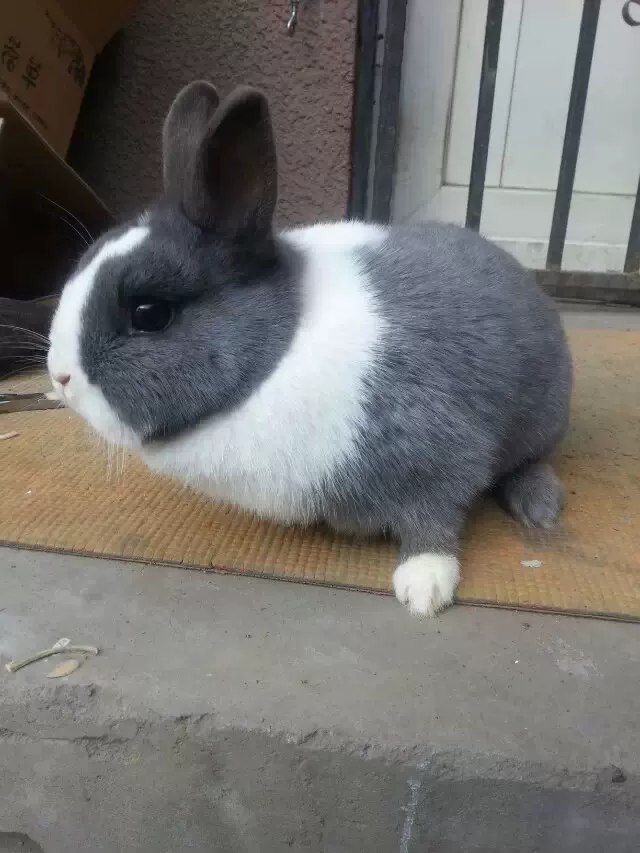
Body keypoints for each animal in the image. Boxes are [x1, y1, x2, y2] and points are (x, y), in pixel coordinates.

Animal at [47, 81, 572, 617]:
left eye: (150, 314)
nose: (60, 379)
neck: (276, 358)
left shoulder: (441, 450)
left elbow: (434, 520)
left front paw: (424, 588)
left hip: (540, 418)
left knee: (530, 462)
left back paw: (540, 509)